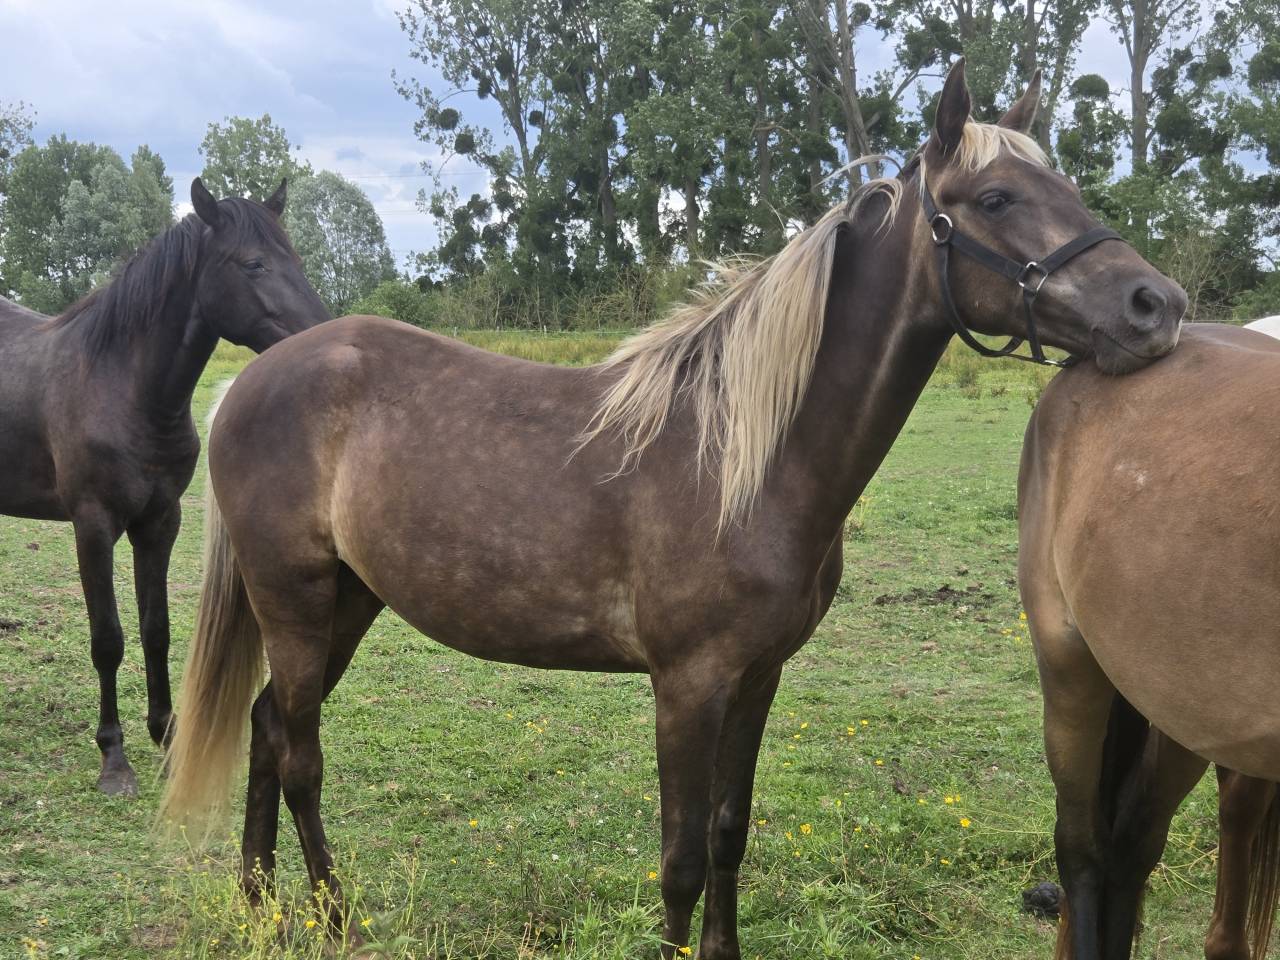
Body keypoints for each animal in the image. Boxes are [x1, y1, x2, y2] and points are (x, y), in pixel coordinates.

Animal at [0, 179, 329, 796]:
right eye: (253, 263)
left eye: (295, 258)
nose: (321, 339)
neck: (122, 385)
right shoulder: (93, 526)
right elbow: (108, 638)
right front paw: (114, 758)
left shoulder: (160, 521)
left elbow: (156, 628)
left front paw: (166, 733)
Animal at [161, 61, 1186, 958]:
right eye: (997, 198)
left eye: (1064, 183)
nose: (1157, 305)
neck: (744, 460)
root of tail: (254, 376)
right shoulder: (687, 685)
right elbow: (682, 860)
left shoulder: (758, 677)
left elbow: (729, 833)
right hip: (295, 601)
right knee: (298, 755)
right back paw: (332, 919)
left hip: (349, 600)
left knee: (265, 732)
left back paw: (261, 910)